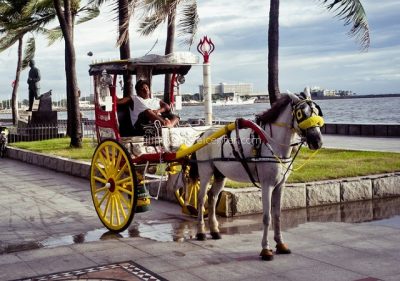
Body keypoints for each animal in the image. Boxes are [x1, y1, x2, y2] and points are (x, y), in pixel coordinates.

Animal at [189, 89, 324, 260]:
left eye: (316, 112)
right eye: (300, 114)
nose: (317, 141)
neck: (273, 144)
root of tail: (202, 134)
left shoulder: (280, 185)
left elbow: (277, 215)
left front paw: (280, 244)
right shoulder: (267, 185)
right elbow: (267, 217)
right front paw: (266, 249)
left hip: (220, 174)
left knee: (212, 197)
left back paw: (214, 231)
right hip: (205, 170)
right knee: (201, 199)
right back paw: (200, 232)